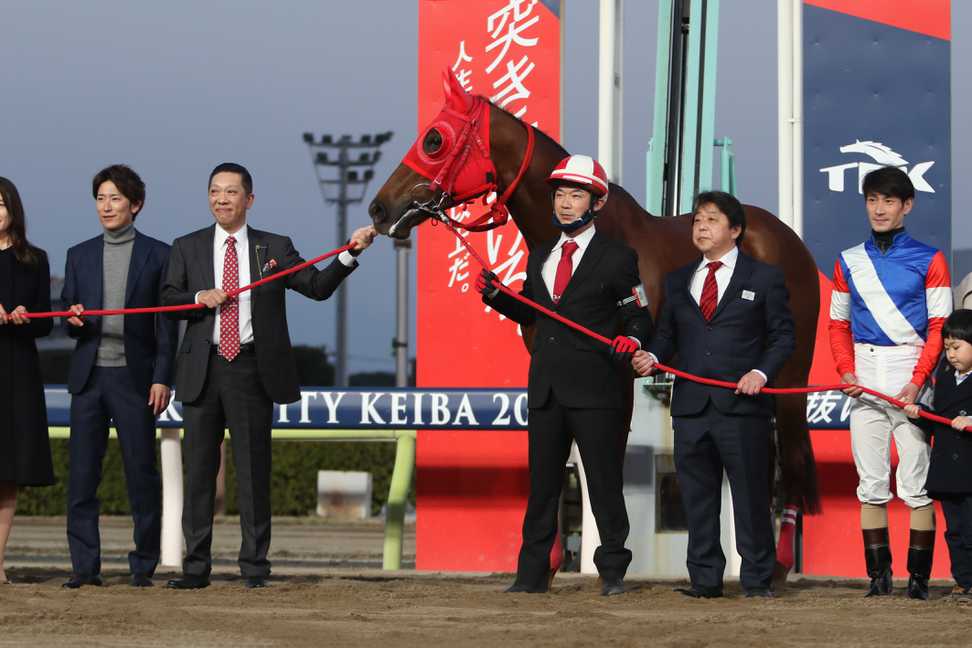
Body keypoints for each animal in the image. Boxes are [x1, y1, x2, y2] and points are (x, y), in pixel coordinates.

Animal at [368, 69, 824, 532]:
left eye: (433, 140)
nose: (379, 209)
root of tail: (790, 241)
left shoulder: (619, 373)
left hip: (787, 375)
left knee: (791, 467)